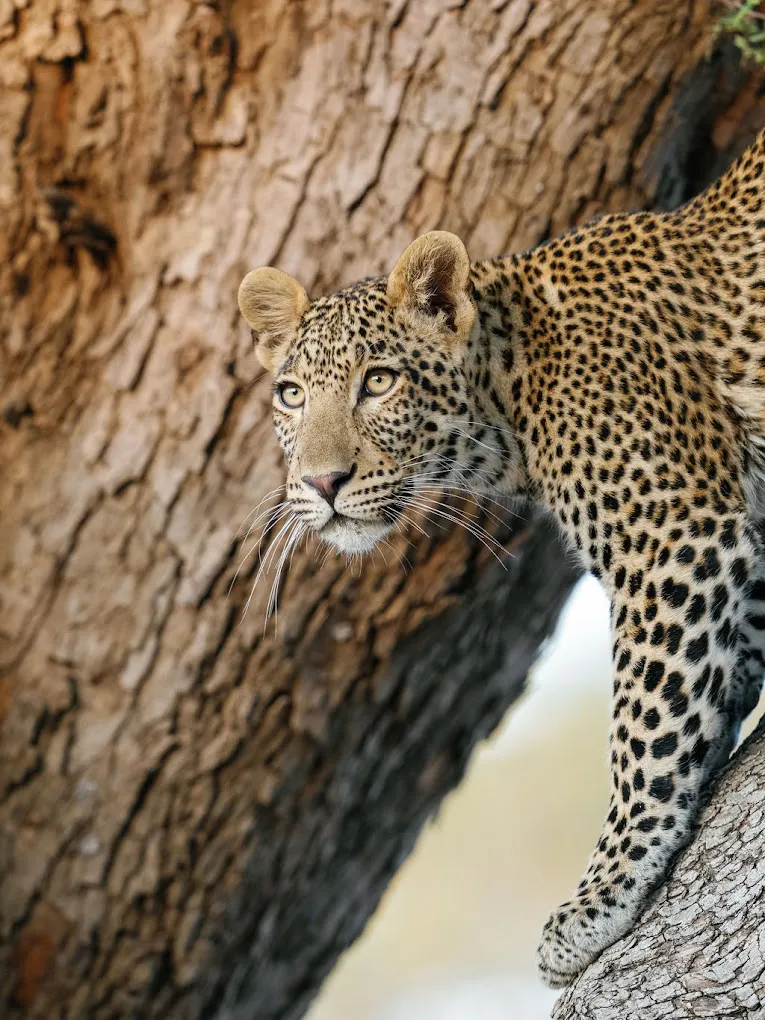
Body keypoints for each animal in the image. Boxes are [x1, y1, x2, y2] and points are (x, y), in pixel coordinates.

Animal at [237, 129, 765, 988]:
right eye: (290, 396)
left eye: (377, 383)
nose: (320, 482)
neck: (509, 393)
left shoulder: (672, 534)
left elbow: (645, 724)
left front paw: (599, 896)